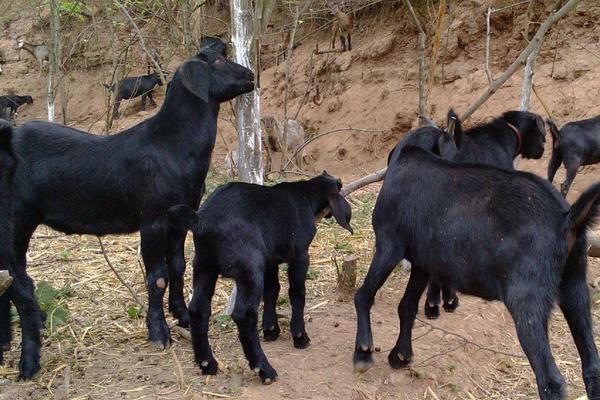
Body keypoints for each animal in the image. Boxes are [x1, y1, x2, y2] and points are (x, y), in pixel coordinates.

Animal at [0, 40, 253, 382]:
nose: (250, 75)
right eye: (217, 62)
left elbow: (177, 266)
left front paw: (183, 315)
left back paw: (18, 332)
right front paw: (159, 333)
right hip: (14, 220)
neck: (171, 146)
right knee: (18, 279)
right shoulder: (153, 221)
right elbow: (157, 277)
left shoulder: (180, 218)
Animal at [166, 172, 354, 384]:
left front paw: (271, 329)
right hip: (249, 269)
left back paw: (207, 363)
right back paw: (264, 369)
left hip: (204, 266)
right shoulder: (300, 255)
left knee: (198, 309)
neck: (304, 194)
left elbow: (272, 290)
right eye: (339, 186)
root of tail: (201, 221)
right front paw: (299, 336)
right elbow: (297, 292)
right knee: (243, 314)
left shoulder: (270, 259)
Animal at [354, 146, 600, 400]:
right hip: (574, 285)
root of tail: (565, 218)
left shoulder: (389, 244)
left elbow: (364, 295)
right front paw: (401, 355)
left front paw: (363, 353)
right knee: (592, 367)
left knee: (551, 381)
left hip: (527, 300)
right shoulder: (423, 262)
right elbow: (407, 306)